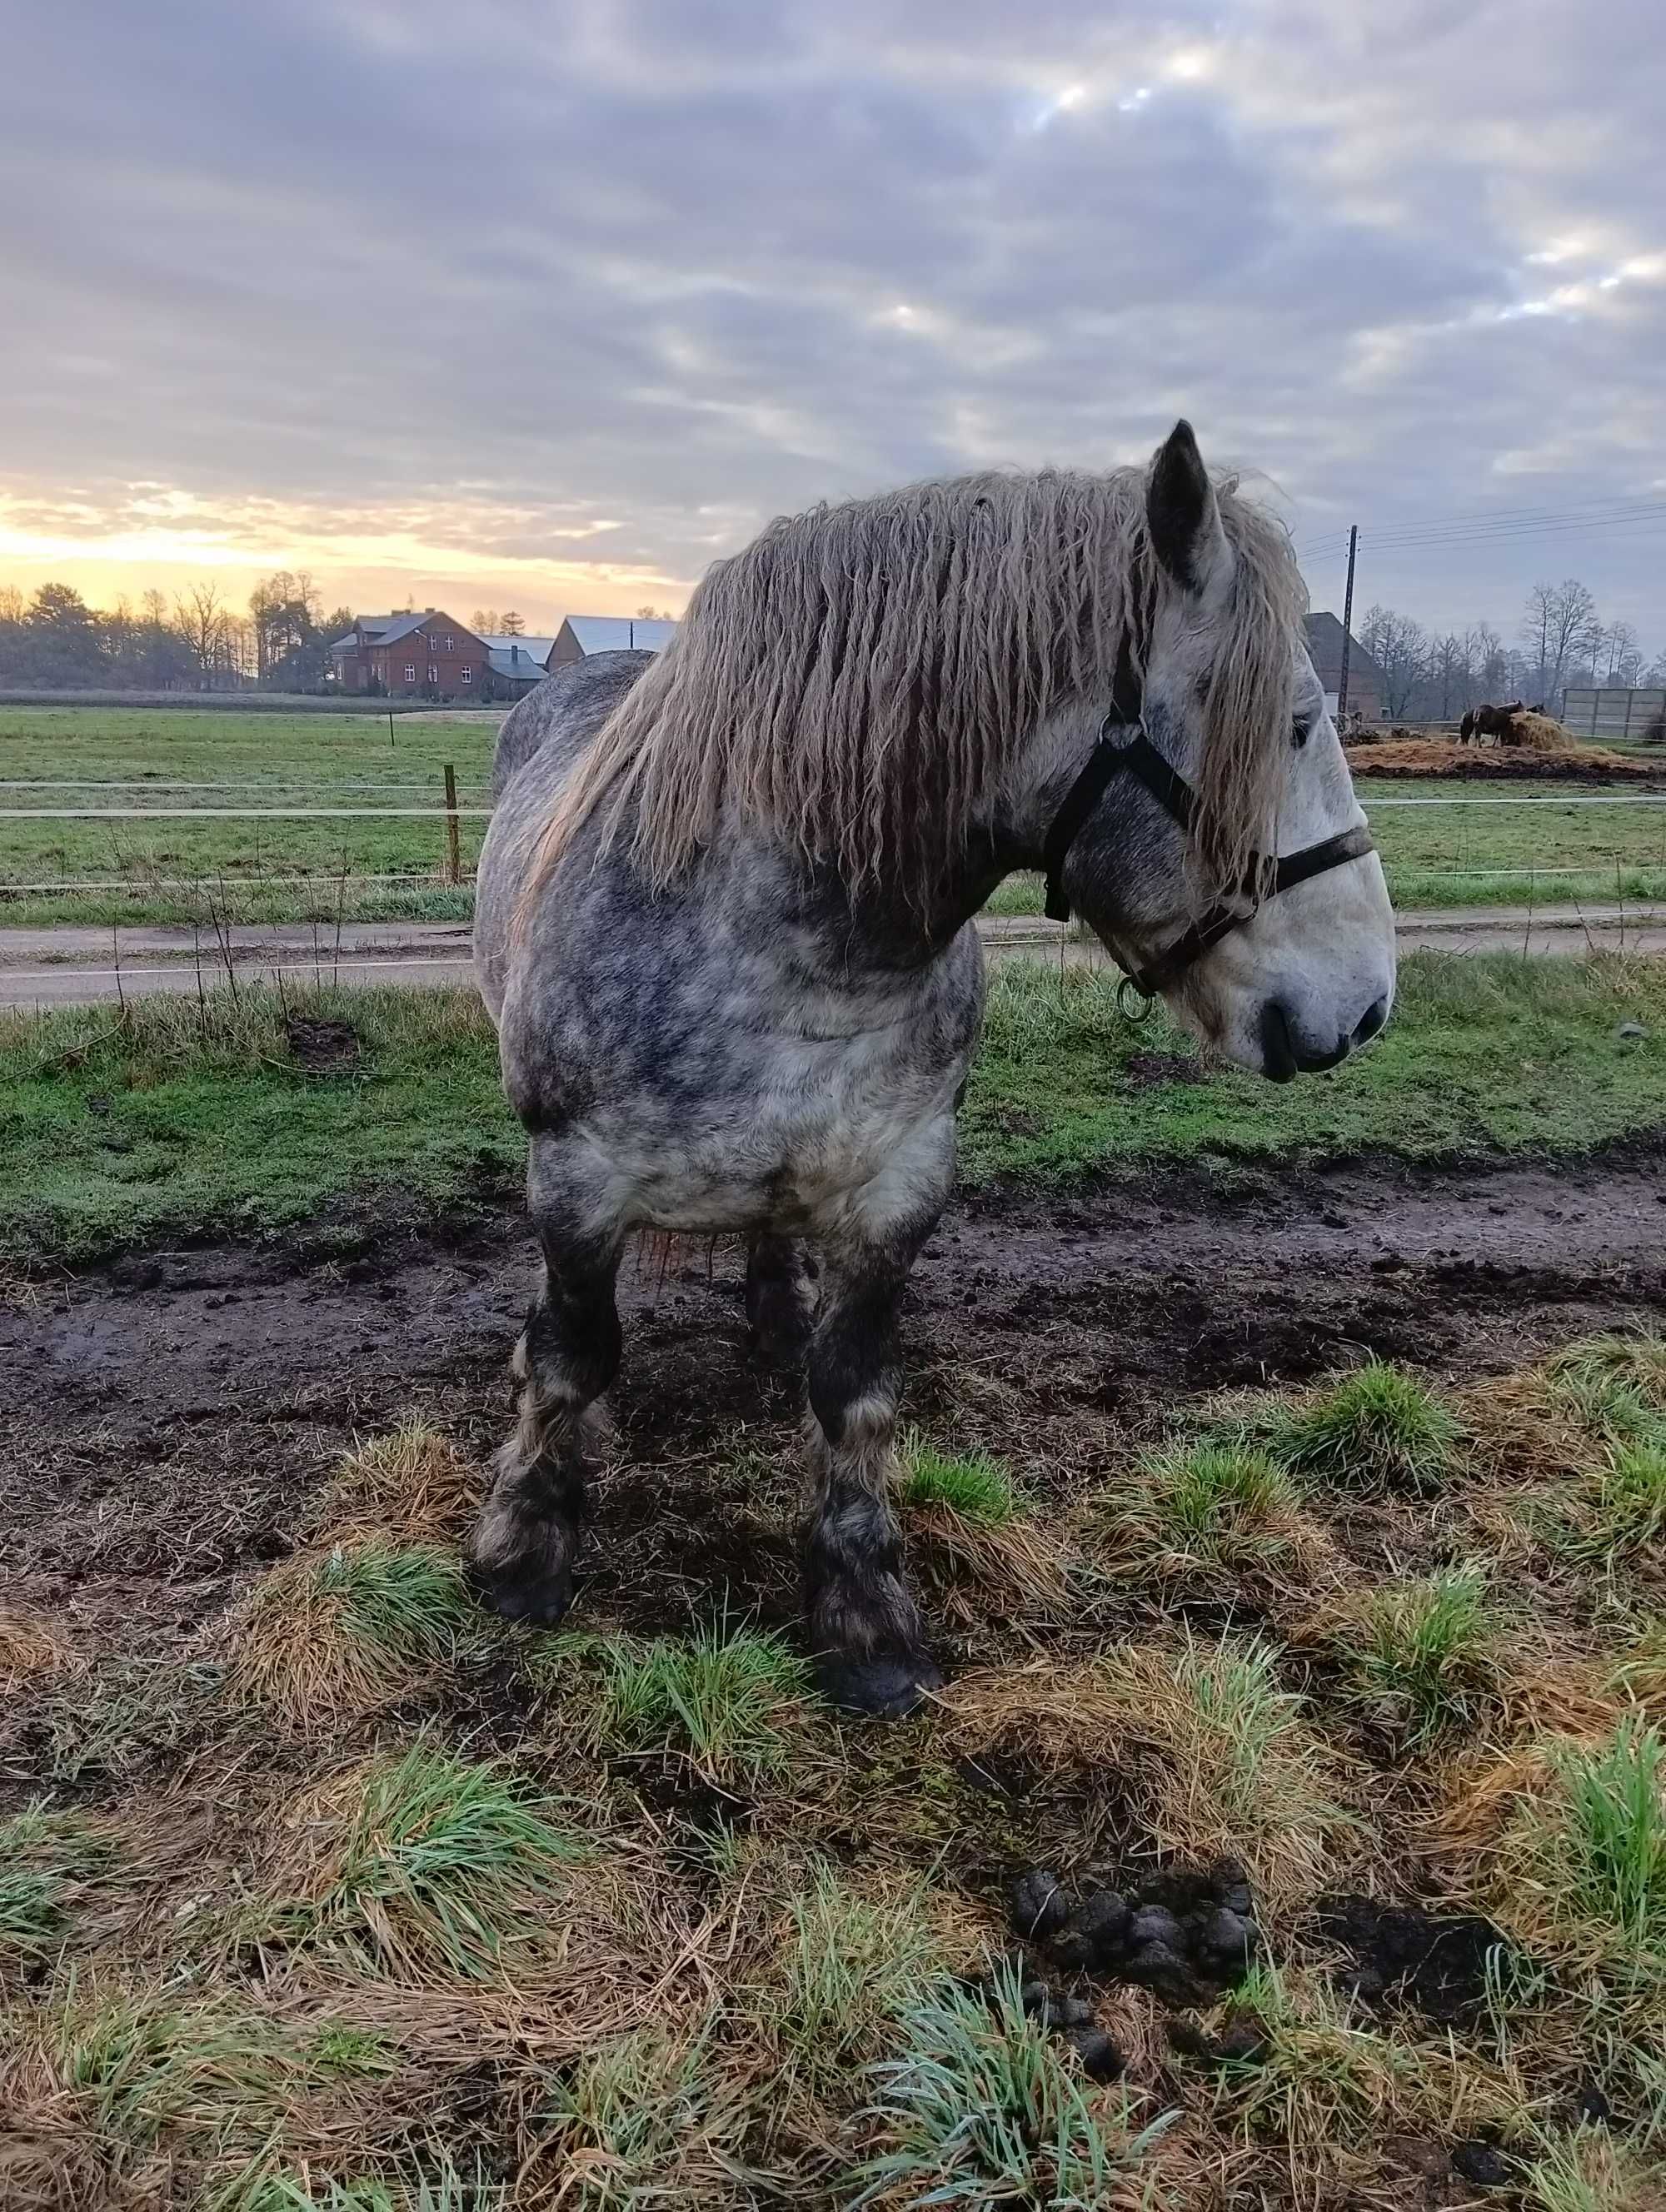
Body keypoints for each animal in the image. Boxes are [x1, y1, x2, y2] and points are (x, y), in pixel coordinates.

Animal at [469, 422, 1389, 1716]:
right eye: (1297, 722)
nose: (1362, 1005)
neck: (790, 947)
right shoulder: (578, 1182)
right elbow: (570, 1356)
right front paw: (524, 1547)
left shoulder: (897, 1185)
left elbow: (853, 1389)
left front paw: (864, 1613)